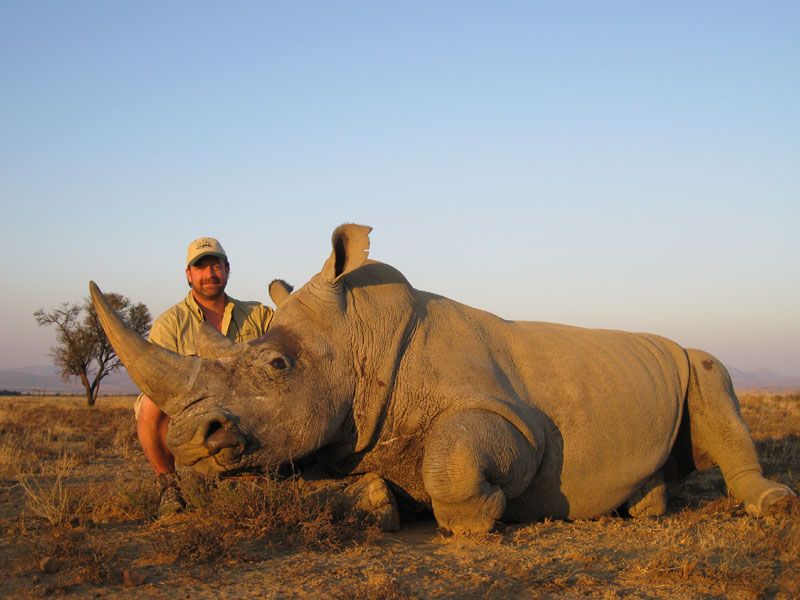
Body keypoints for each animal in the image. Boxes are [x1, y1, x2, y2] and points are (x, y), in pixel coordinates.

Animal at [90, 224, 795, 534]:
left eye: (277, 367)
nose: (189, 440)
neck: (359, 341)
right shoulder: (356, 435)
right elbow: (373, 481)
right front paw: (381, 507)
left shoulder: (518, 421)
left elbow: (453, 460)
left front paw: (481, 518)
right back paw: (642, 508)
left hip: (689, 361)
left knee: (710, 373)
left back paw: (774, 507)